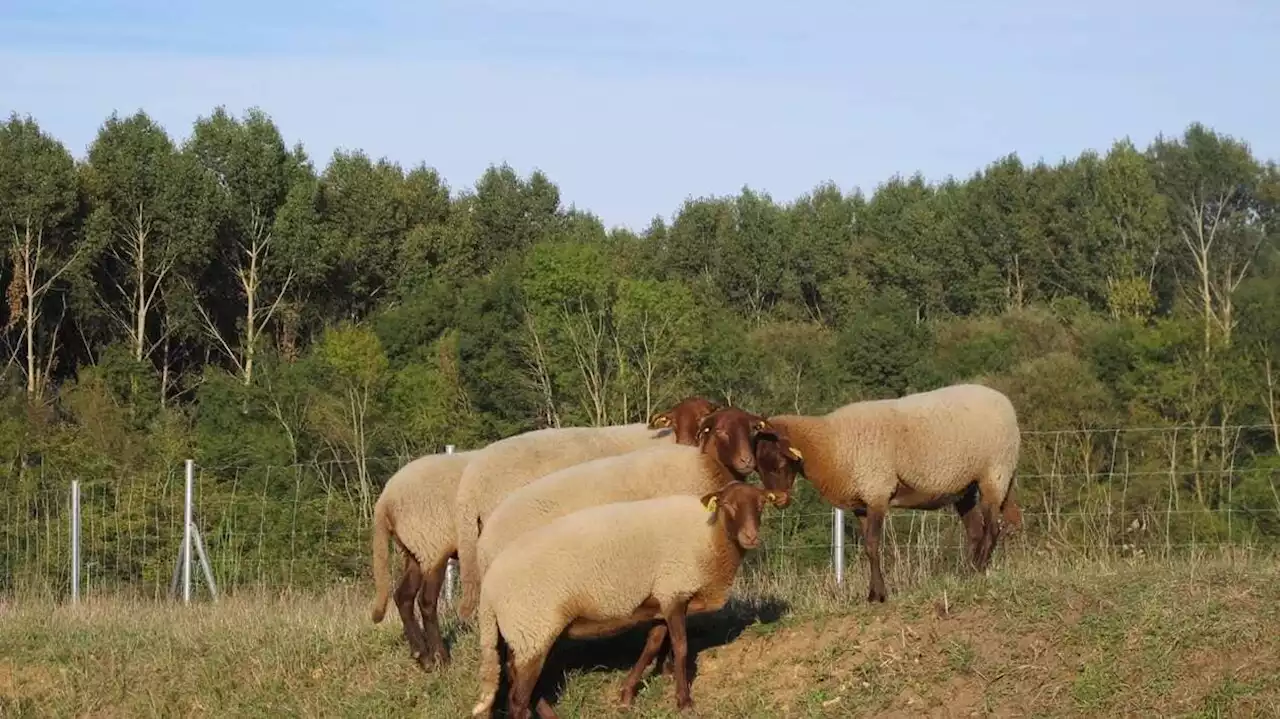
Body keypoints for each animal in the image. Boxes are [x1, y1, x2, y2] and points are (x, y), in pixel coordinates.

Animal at [371, 447, 476, 665]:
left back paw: (422, 654)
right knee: (426, 601)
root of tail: (384, 501)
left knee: (403, 596)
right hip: (432, 544)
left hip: (415, 549)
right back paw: (439, 657)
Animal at [473, 475, 788, 716]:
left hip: (527, 634)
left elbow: (652, 645)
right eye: (728, 505)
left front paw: (626, 696)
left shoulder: (660, 599)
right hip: (533, 629)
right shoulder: (674, 590)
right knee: (518, 697)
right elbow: (681, 647)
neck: (710, 538)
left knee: (520, 683)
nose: (751, 537)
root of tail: (488, 591)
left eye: (761, 504)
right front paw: (684, 702)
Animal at [762, 383, 1024, 601]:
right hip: (964, 487)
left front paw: (879, 595)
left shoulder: (877, 491)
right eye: (758, 466)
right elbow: (868, 548)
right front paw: (872, 594)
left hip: (995, 472)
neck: (829, 444)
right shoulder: (862, 503)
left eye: (780, 463)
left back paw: (977, 568)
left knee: (992, 528)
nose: (776, 499)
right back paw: (968, 574)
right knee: (975, 532)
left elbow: (872, 545)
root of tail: (1005, 401)